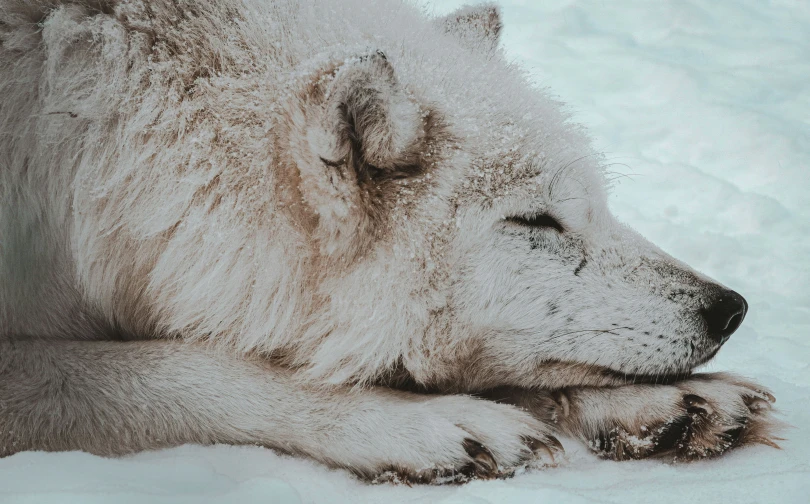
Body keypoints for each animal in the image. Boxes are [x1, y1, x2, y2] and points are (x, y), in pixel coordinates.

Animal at [1, 0, 776, 480]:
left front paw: (665, 403)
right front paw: (416, 422)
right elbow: (177, 369)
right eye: (537, 223)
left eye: (598, 206)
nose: (730, 308)